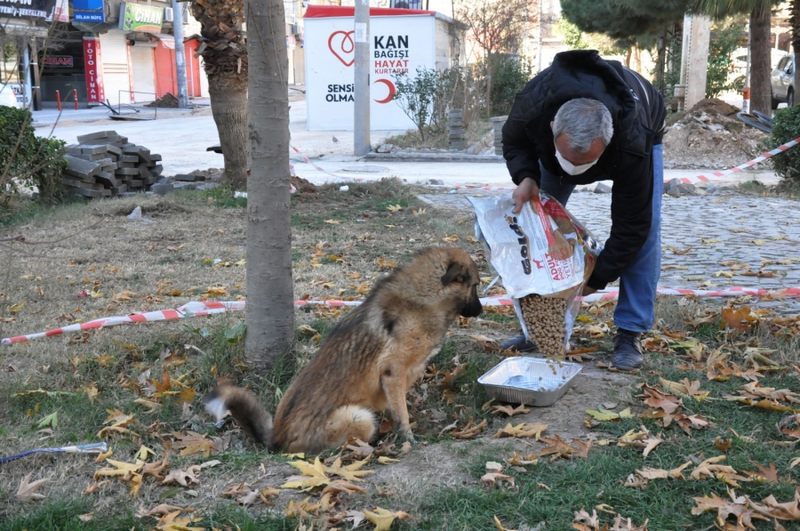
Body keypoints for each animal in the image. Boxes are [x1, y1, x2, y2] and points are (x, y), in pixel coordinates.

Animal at [206, 248, 482, 454]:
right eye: (476, 285)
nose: (481, 311)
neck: (425, 297)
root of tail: (276, 438)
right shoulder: (393, 373)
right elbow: (402, 414)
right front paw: (408, 438)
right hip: (359, 418)